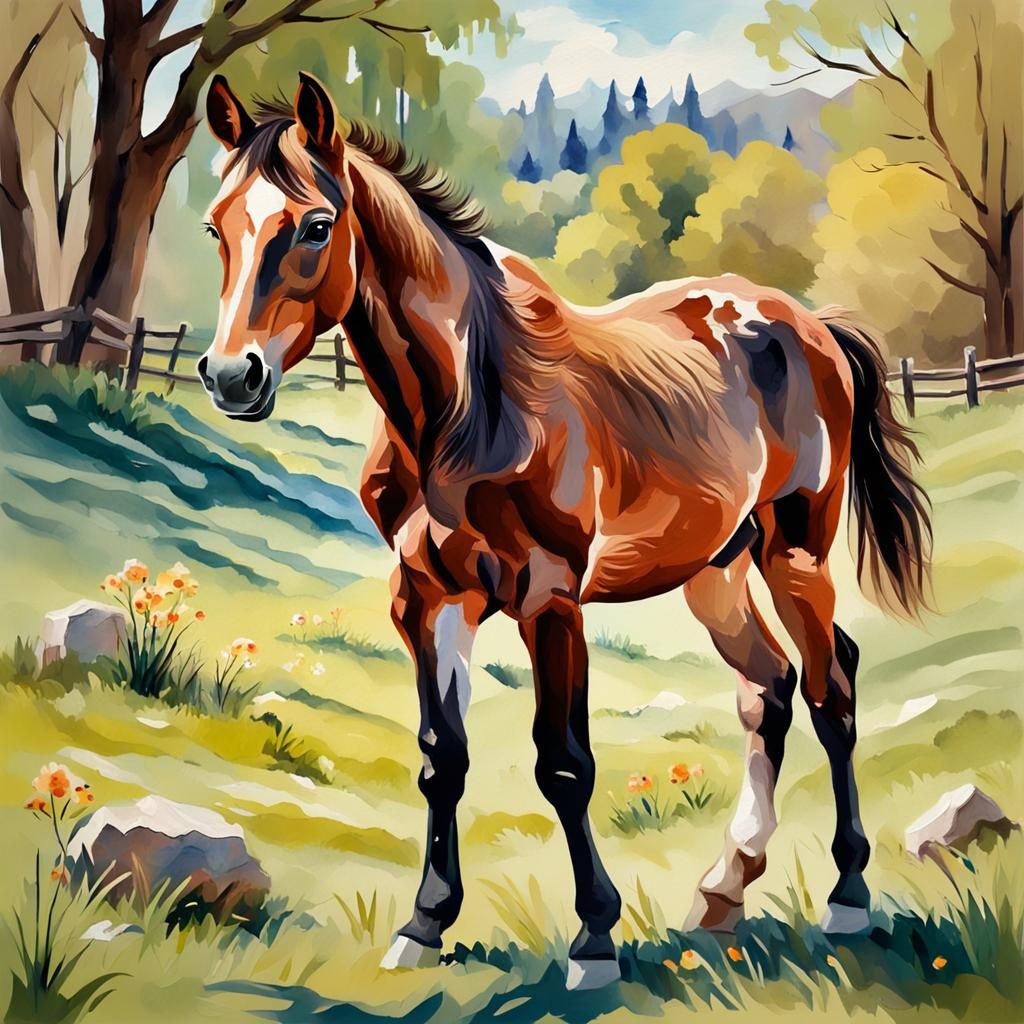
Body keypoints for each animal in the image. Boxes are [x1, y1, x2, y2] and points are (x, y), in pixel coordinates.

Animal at [198, 73, 931, 990]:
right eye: (216, 227)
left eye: (315, 225)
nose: (232, 376)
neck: (469, 404)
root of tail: (806, 324)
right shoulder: (427, 599)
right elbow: (442, 758)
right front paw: (425, 924)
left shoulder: (549, 600)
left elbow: (564, 762)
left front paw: (594, 940)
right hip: (716, 570)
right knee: (768, 691)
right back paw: (723, 890)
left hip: (793, 550)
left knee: (834, 693)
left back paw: (848, 898)